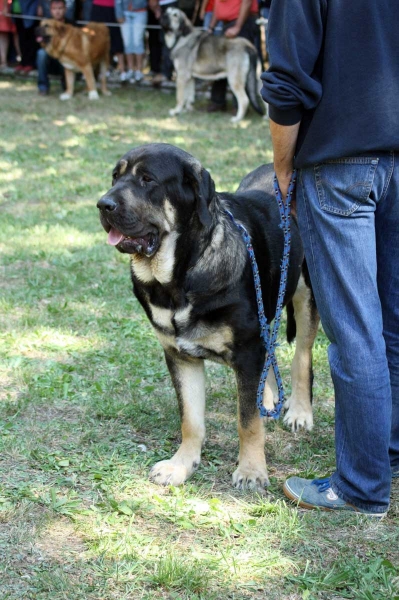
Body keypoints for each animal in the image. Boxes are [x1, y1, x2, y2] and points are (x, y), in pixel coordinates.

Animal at [97, 143, 322, 490]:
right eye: (115, 177)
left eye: (148, 180)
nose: (103, 204)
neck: (178, 278)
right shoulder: (180, 356)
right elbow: (190, 419)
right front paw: (181, 465)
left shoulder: (246, 351)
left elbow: (247, 420)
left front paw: (251, 469)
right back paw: (268, 398)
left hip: (306, 292)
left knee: (302, 357)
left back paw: (299, 411)